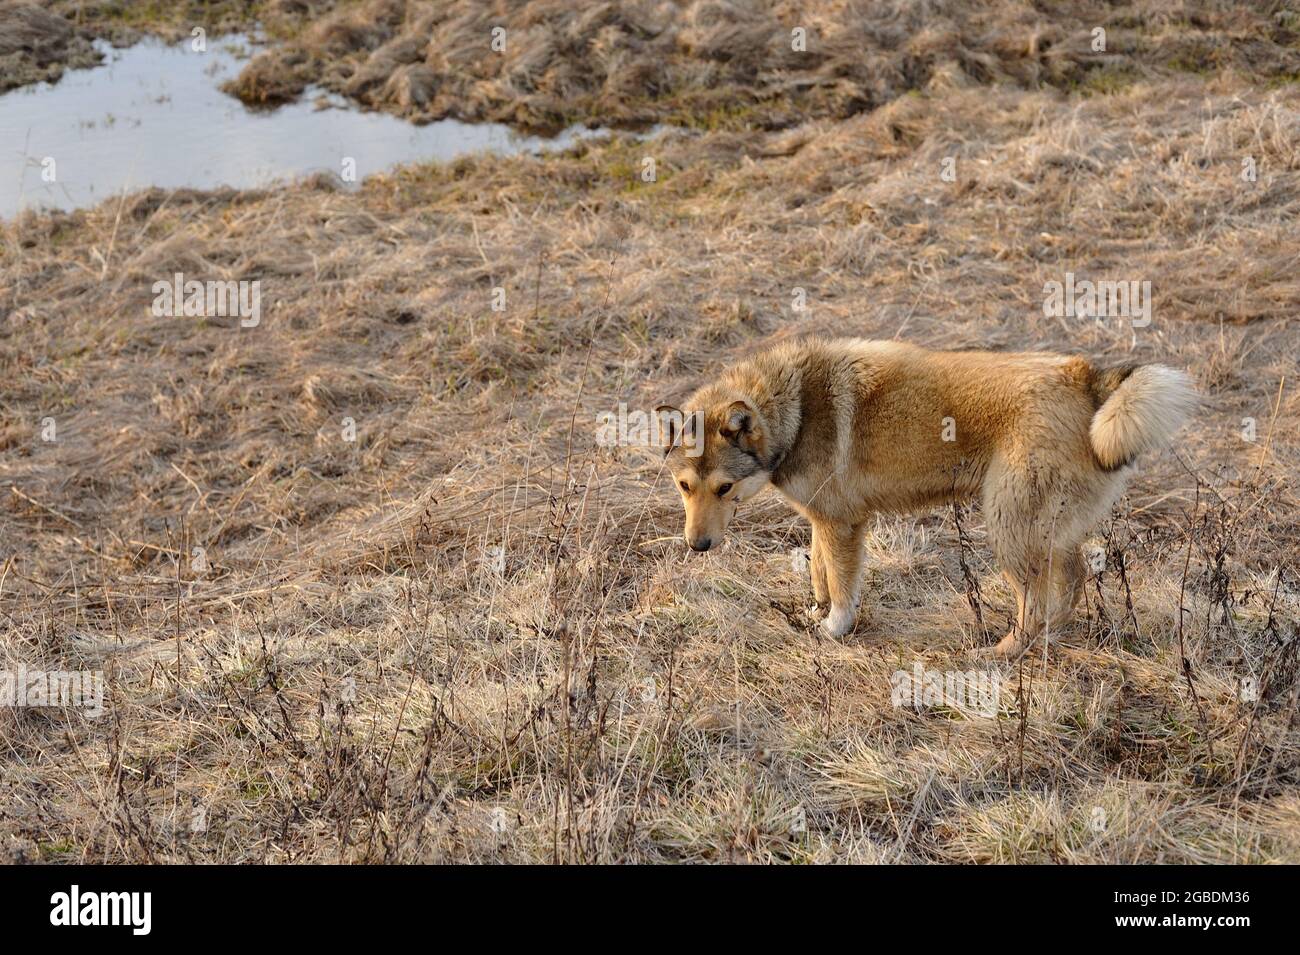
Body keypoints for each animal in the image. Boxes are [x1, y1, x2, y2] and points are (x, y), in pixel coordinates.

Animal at [660, 337, 1196, 657]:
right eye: (685, 487)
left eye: (724, 488)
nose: (696, 547)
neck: (795, 408)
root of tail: (1088, 377)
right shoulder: (824, 521)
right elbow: (820, 574)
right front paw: (814, 613)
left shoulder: (842, 525)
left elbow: (842, 588)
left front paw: (834, 630)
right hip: (1046, 534)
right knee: (1070, 588)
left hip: (1009, 529)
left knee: (1038, 602)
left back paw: (1003, 652)